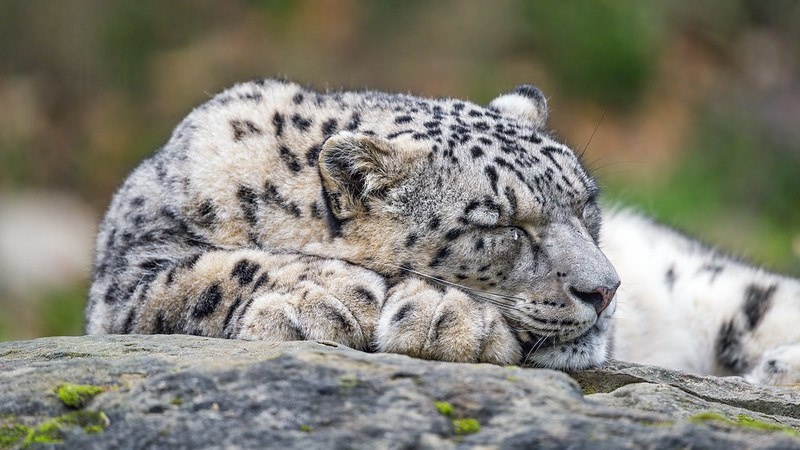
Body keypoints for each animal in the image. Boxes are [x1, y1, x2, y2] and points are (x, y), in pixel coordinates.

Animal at [85, 78, 800, 385]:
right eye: (502, 222)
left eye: (586, 204)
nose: (606, 291)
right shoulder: (126, 276)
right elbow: (201, 274)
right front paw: (327, 295)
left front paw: (448, 319)